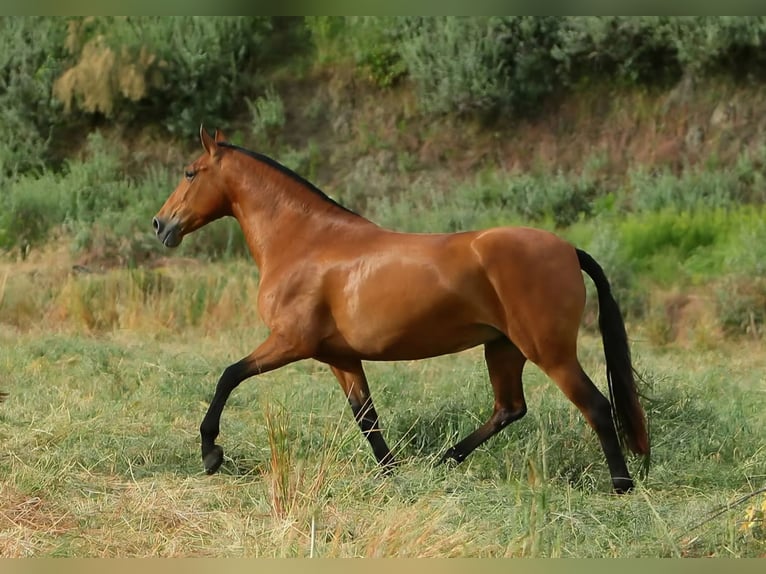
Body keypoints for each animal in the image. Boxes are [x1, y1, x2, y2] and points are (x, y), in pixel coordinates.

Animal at [153, 126, 649, 493]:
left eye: (190, 172)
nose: (160, 225)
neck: (305, 242)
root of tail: (568, 249)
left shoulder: (290, 342)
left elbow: (228, 376)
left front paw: (211, 453)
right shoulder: (340, 357)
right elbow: (366, 417)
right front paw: (390, 472)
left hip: (550, 352)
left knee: (596, 406)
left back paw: (621, 485)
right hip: (503, 348)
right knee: (509, 408)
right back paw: (446, 459)